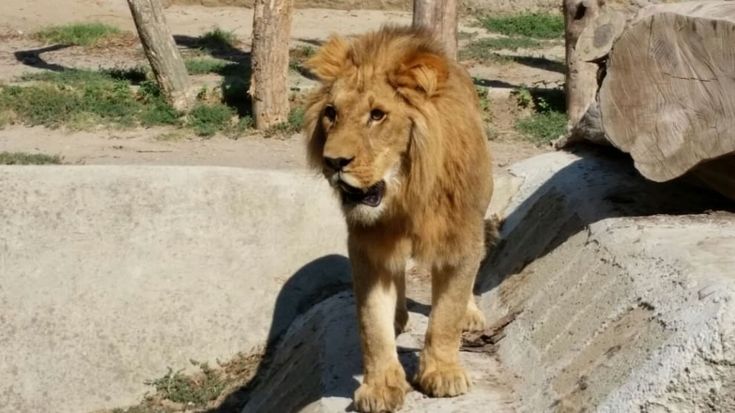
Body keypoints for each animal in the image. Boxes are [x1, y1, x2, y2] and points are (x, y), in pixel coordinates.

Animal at [303, 26, 493, 412]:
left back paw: (470, 314)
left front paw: (442, 373)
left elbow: (446, 314)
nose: (333, 162)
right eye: (331, 112)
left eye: (377, 115)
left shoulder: (460, 238)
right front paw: (380, 387)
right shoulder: (367, 248)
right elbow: (371, 326)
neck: (407, 197)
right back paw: (398, 316)